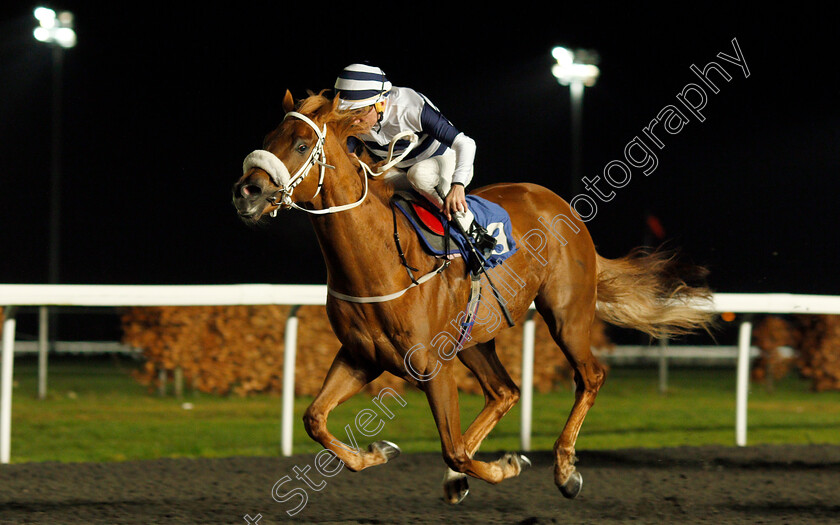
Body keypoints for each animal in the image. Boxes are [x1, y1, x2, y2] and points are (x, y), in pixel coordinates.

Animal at [231, 91, 716, 504]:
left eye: (299, 144)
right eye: (267, 140)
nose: (246, 192)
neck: (381, 259)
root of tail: (562, 205)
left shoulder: (431, 365)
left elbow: (454, 448)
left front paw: (506, 466)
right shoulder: (360, 357)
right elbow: (315, 419)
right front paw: (379, 452)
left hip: (567, 314)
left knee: (590, 377)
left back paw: (564, 470)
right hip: (475, 336)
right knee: (505, 391)